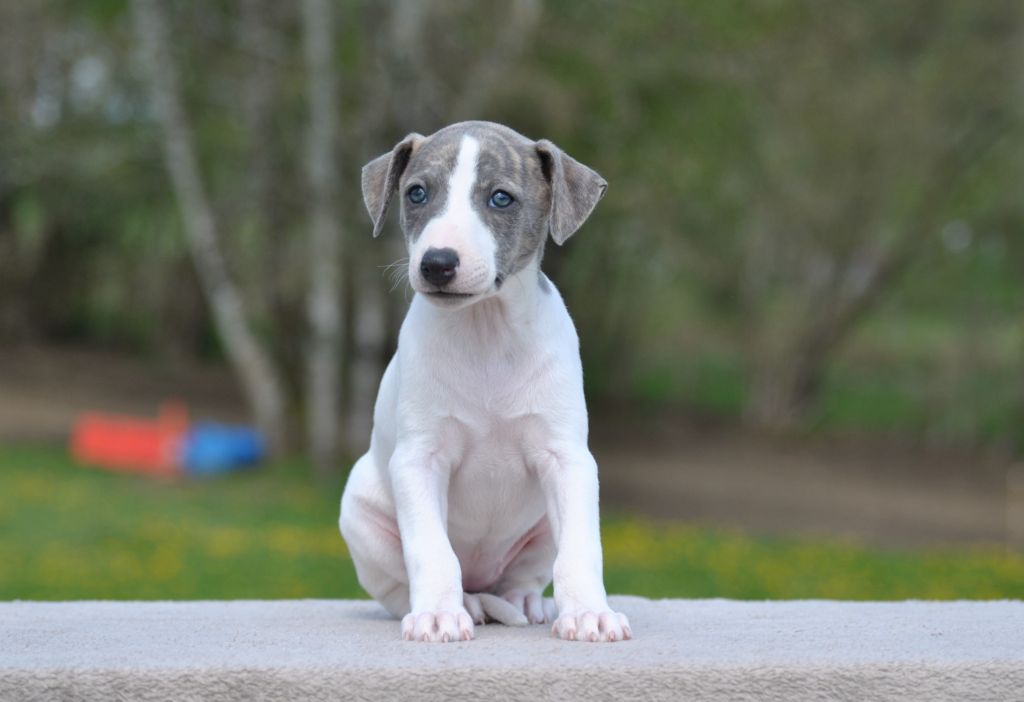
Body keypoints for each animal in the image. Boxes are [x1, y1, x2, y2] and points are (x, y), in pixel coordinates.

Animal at [339, 121, 630, 643]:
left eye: (501, 198)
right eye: (417, 193)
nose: (437, 263)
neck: (486, 333)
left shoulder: (567, 460)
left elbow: (580, 549)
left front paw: (588, 613)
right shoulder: (419, 461)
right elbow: (431, 551)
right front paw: (438, 614)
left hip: (538, 531)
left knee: (524, 575)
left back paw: (523, 601)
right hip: (361, 515)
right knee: (400, 588)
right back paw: (461, 604)